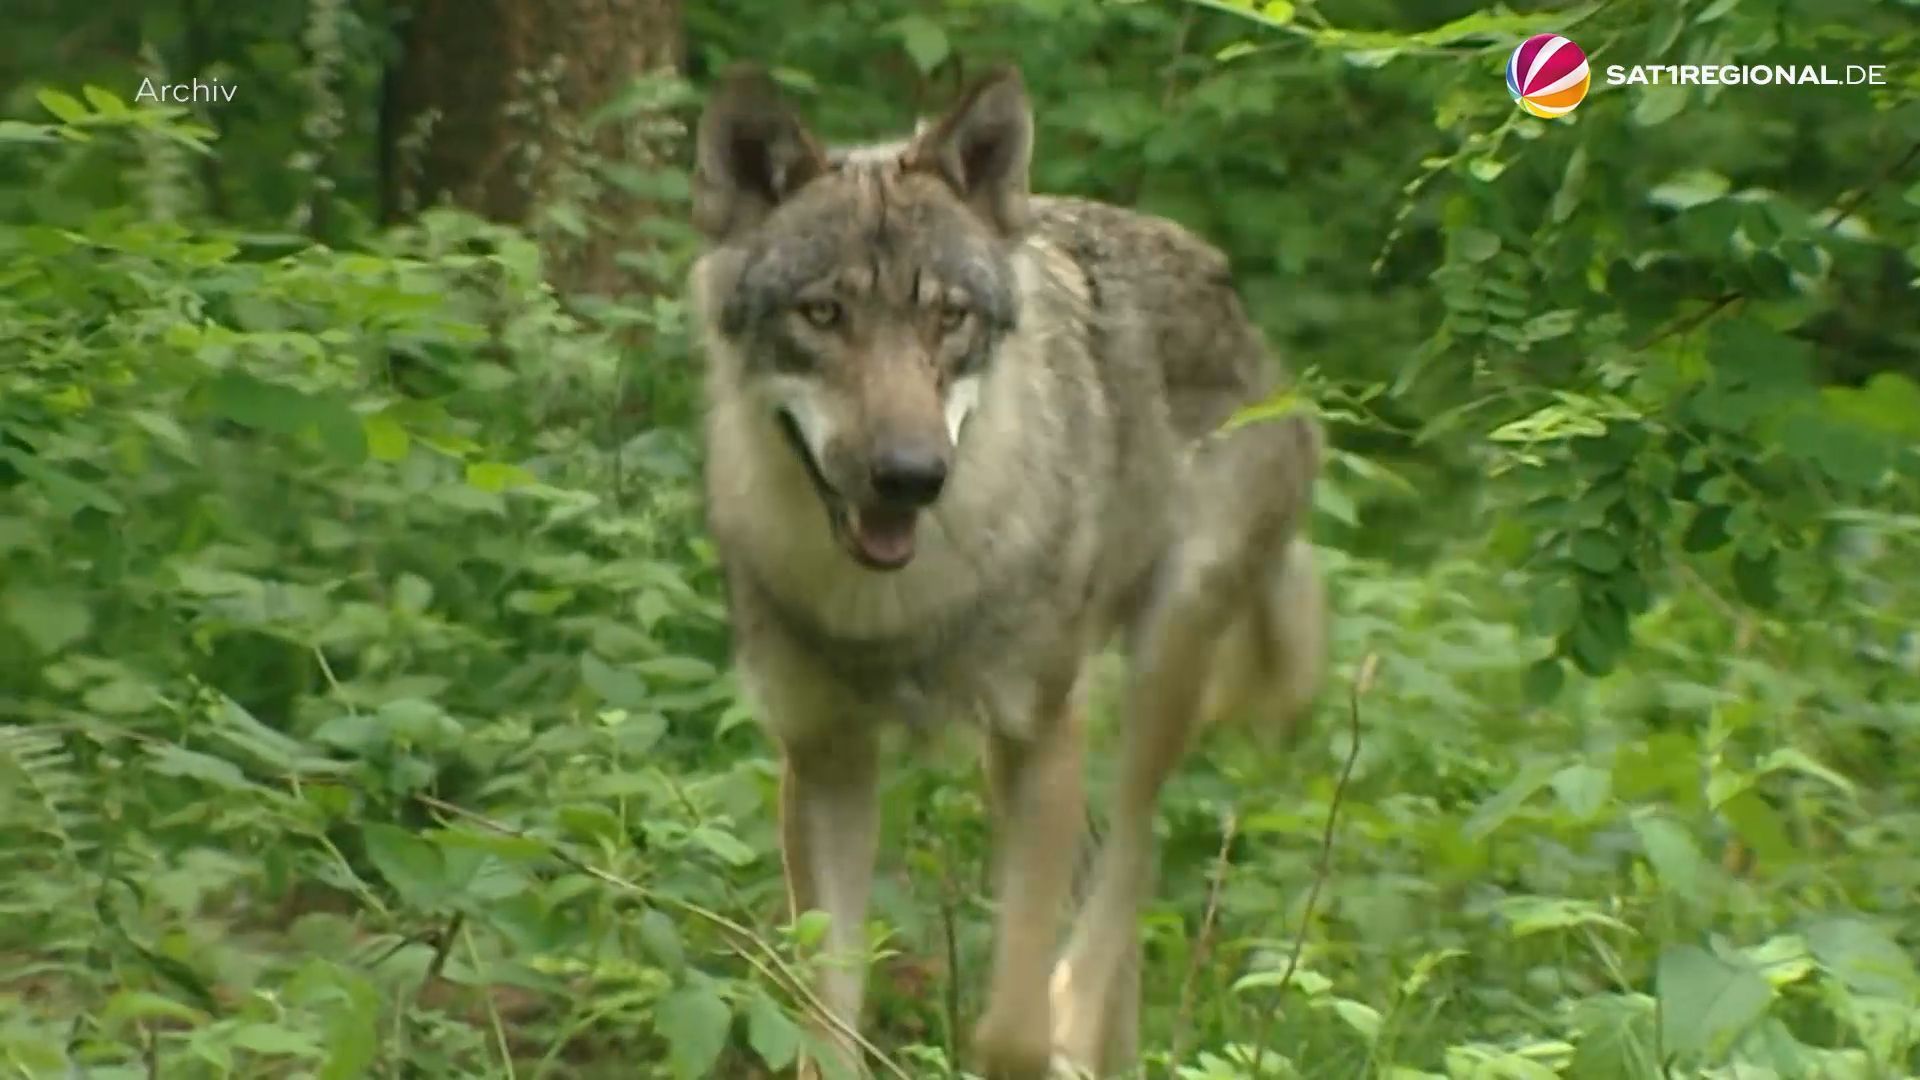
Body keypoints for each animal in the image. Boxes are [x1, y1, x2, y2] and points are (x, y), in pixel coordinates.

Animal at [688, 63, 1328, 1079]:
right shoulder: (824, 755)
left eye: (948, 316)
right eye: (823, 313)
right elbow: (823, 1021)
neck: (893, 606)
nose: (912, 475)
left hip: (1148, 671)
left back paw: (1078, 1017)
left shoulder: (1040, 736)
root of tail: (1240, 311)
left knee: (1131, 868)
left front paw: (1040, 1038)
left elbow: (1010, 1028)